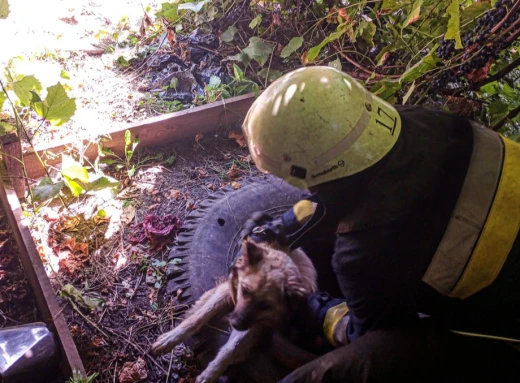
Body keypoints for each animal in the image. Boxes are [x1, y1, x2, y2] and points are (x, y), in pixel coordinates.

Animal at [150, 238, 316, 382]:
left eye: (265, 306)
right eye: (245, 291)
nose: (234, 323)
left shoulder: (254, 325)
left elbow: (230, 350)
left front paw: (210, 373)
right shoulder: (227, 292)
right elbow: (198, 317)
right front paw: (171, 338)